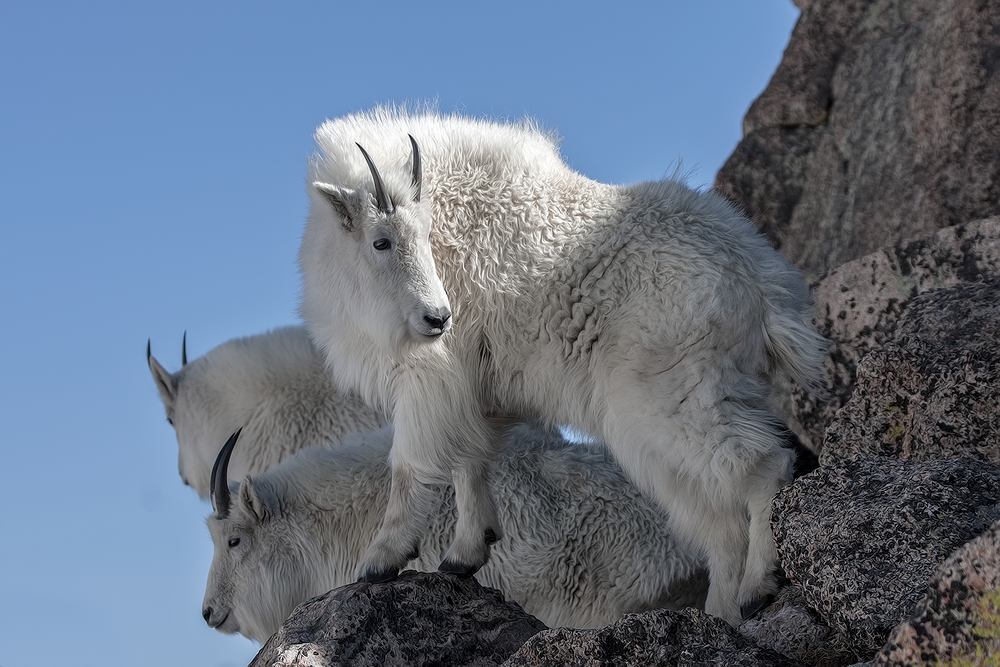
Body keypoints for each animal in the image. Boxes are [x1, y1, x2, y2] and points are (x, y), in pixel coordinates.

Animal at [298, 107, 828, 624]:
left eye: (424, 234)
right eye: (381, 241)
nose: (438, 318)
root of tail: (761, 282)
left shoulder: (429, 377)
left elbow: (408, 465)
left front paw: (381, 560)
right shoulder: (474, 389)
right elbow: (470, 461)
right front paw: (466, 554)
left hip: (674, 395)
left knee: (762, 464)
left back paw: (758, 586)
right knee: (720, 523)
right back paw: (721, 614)